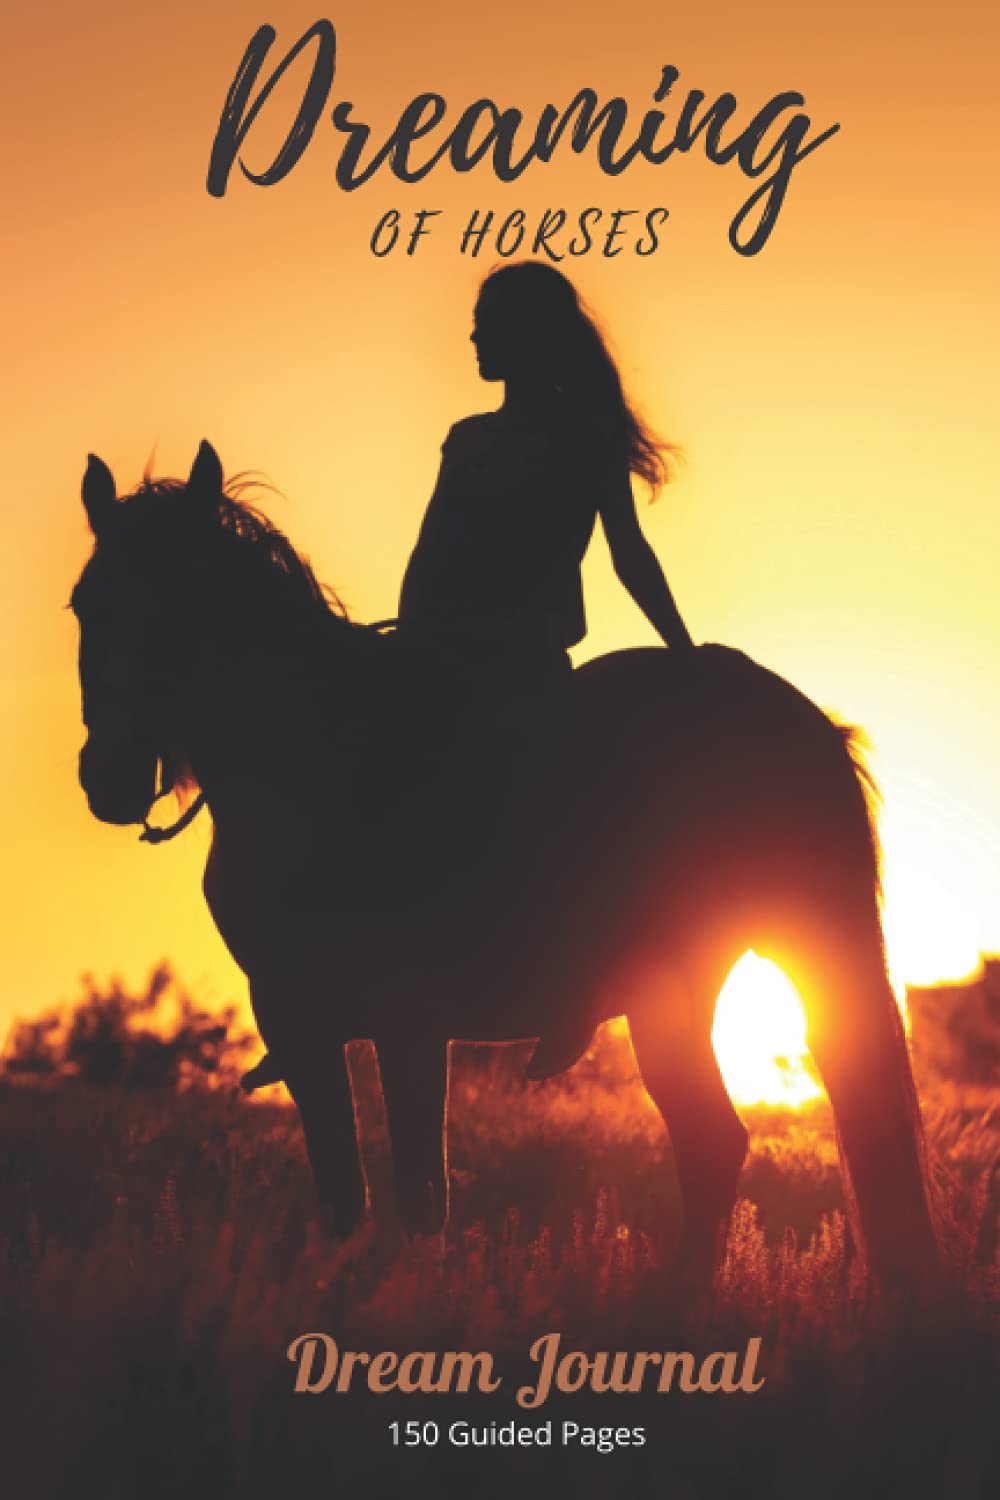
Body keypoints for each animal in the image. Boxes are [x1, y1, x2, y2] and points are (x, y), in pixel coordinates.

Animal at [72, 440, 939, 1287]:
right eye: (85, 604)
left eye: (185, 604)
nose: (110, 777)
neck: (319, 767)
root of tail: (797, 714)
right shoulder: (295, 1017)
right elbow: (344, 1199)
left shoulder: (408, 1019)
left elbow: (422, 1197)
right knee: (728, 1141)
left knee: (731, 1138)